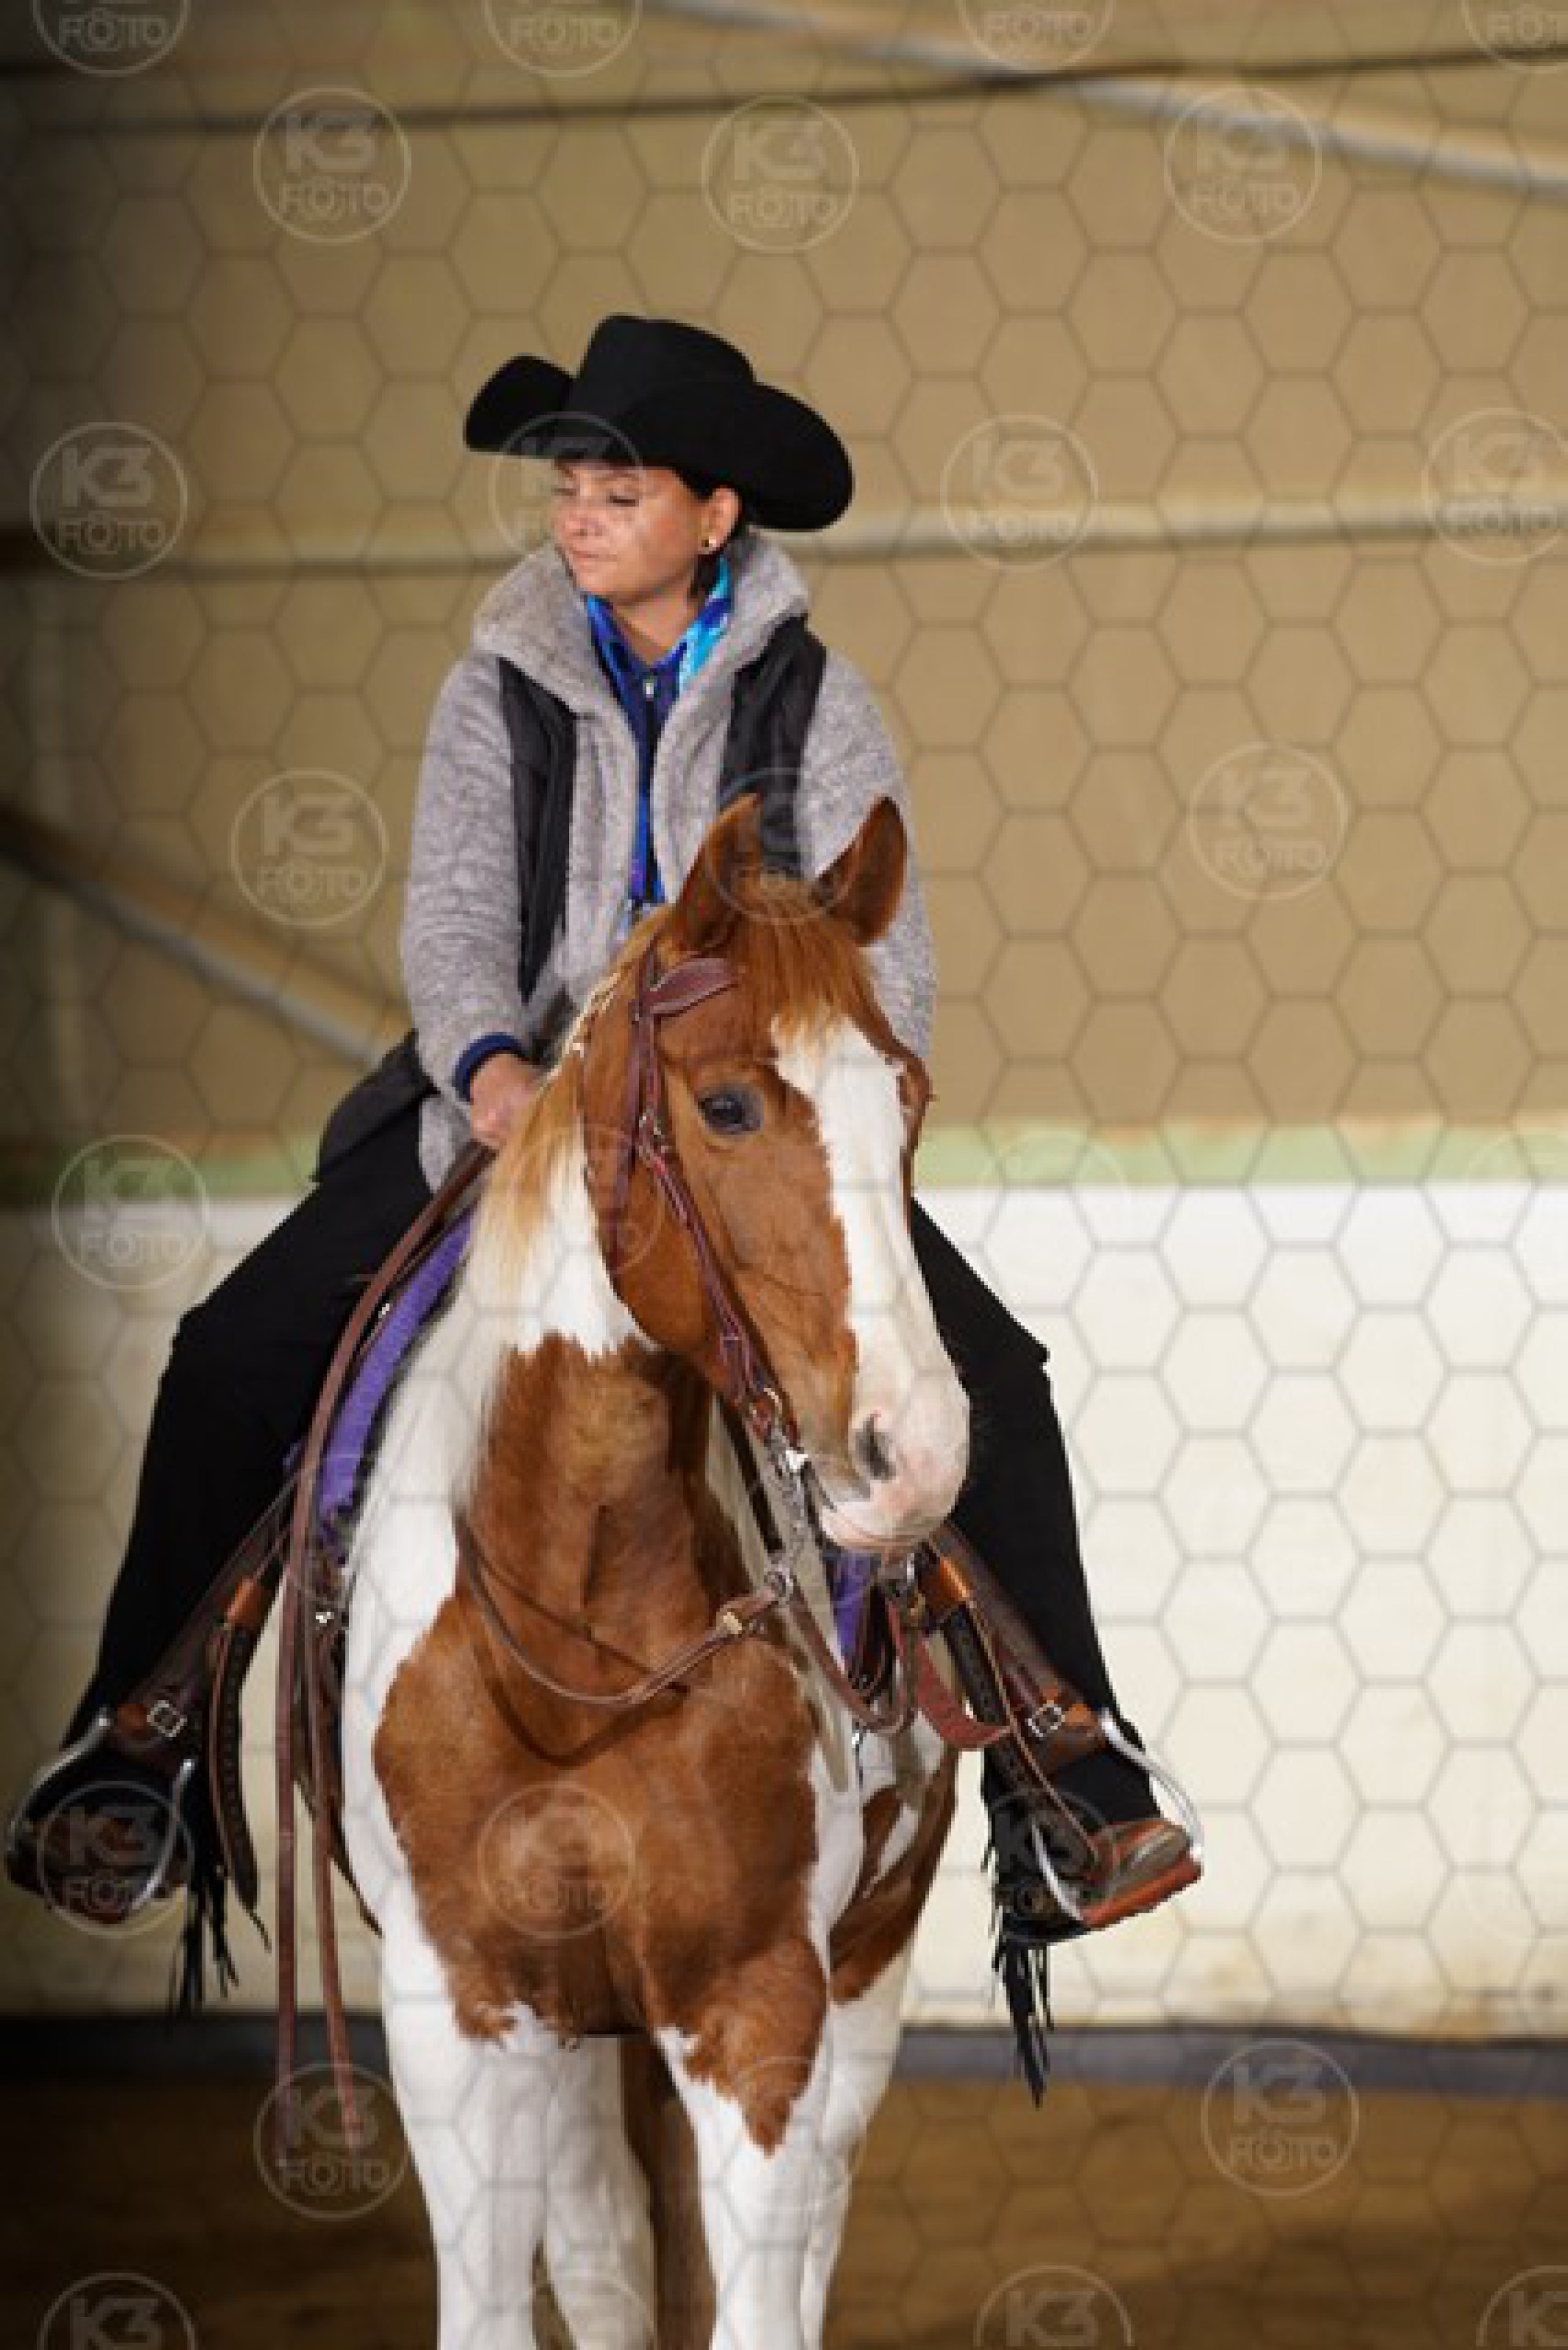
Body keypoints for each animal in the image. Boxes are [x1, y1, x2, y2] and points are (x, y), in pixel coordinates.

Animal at [339, 791, 973, 2348]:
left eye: (907, 1094)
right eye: (729, 1104)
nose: (915, 1452)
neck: (582, 1637)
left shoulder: (758, 2007)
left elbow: (764, 2309)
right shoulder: (458, 2015)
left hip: (868, 1968)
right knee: (606, 2254)